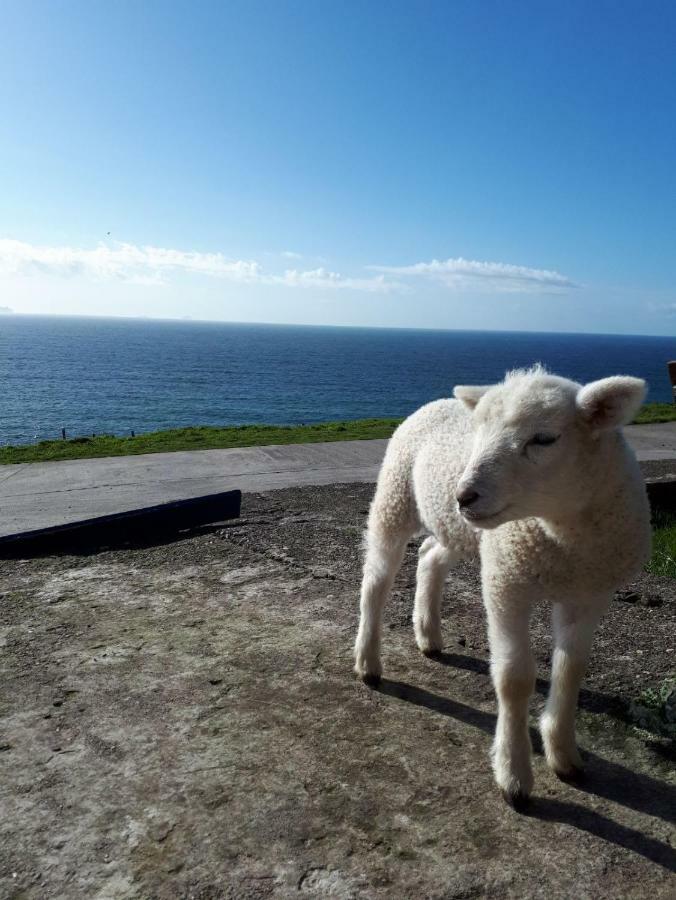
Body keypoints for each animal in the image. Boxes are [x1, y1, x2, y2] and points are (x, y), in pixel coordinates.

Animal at [354, 366, 648, 808]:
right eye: (480, 433)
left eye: (544, 439)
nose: (464, 496)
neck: (561, 539)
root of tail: (438, 402)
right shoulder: (507, 582)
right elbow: (514, 678)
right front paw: (514, 774)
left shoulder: (589, 592)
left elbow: (571, 670)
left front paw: (564, 754)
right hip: (395, 496)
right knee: (376, 581)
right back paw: (369, 663)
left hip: (459, 529)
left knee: (429, 555)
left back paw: (428, 634)